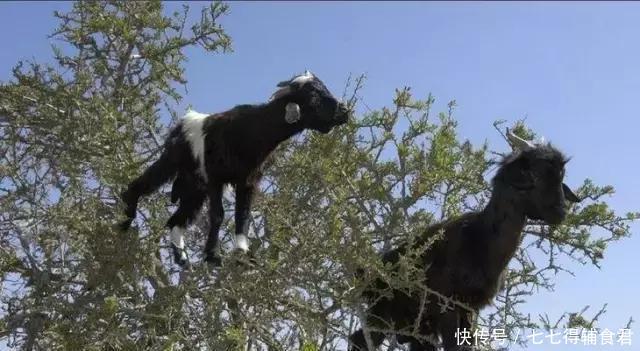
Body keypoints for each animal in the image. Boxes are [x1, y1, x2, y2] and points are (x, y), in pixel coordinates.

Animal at [119, 70, 350, 266]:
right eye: (313, 95)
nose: (344, 111)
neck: (251, 131)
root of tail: (183, 123)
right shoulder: (215, 178)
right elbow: (218, 215)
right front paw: (213, 256)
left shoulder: (248, 181)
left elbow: (243, 216)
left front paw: (243, 255)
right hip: (173, 163)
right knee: (144, 182)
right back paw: (125, 220)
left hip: (195, 186)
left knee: (175, 220)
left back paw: (181, 257)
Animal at [350, 132, 580, 351]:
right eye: (534, 174)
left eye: (561, 176)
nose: (560, 212)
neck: (481, 239)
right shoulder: (447, 305)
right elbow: (454, 346)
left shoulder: (471, 309)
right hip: (382, 314)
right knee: (359, 340)